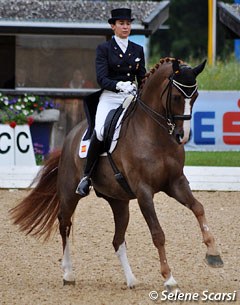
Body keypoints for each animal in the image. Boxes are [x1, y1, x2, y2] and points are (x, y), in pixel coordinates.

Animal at [9, 57, 223, 292]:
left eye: (195, 96)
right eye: (176, 96)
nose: (182, 136)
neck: (155, 135)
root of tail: (71, 136)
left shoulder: (176, 183)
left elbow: (198, 208)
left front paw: (214, 254)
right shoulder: (144, 191)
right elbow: (158, 233)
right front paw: (169, 278)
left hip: (119, 201)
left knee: (117, 240)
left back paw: (131, 280)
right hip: (69, 193)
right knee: (64, 224)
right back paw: (68, 274)